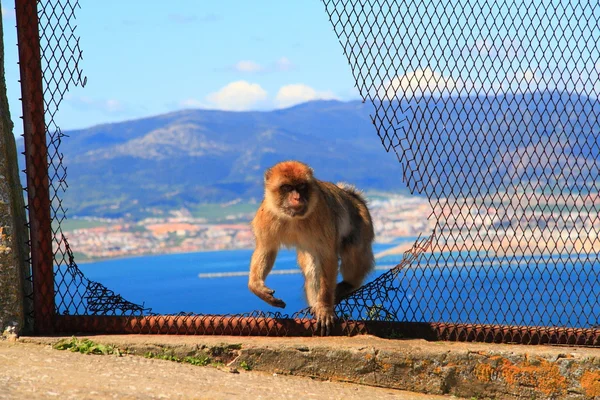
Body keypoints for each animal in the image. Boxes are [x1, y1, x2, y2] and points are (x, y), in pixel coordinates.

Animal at [246, 159, 372, 334]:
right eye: (287, 187)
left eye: (301, 186)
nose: (297, 198)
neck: (292, 217)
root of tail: (350, 194)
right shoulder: (266, 216)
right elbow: (266, 249)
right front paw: (257, 287)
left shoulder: (322, 215)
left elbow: (327, 256)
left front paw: (325, 307)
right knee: (312, 267)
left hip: (362, 221)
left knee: (353, 248)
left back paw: (348, 284)